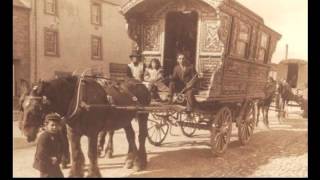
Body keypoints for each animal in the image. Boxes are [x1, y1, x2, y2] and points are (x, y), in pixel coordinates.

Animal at [19, 75, 151, 177]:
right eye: (23, 106)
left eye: (37, 107)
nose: (26, 131)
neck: (79, 101)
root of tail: (141, 83)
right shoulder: (73, 132)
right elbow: (76, 153)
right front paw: (75, 173)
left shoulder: (93, 133)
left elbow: (91, 154)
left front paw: (93, 174)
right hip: (125, 119)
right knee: (130, 136)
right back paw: (131, 160)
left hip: (143, 114)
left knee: (141, 136)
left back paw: (140, 161)